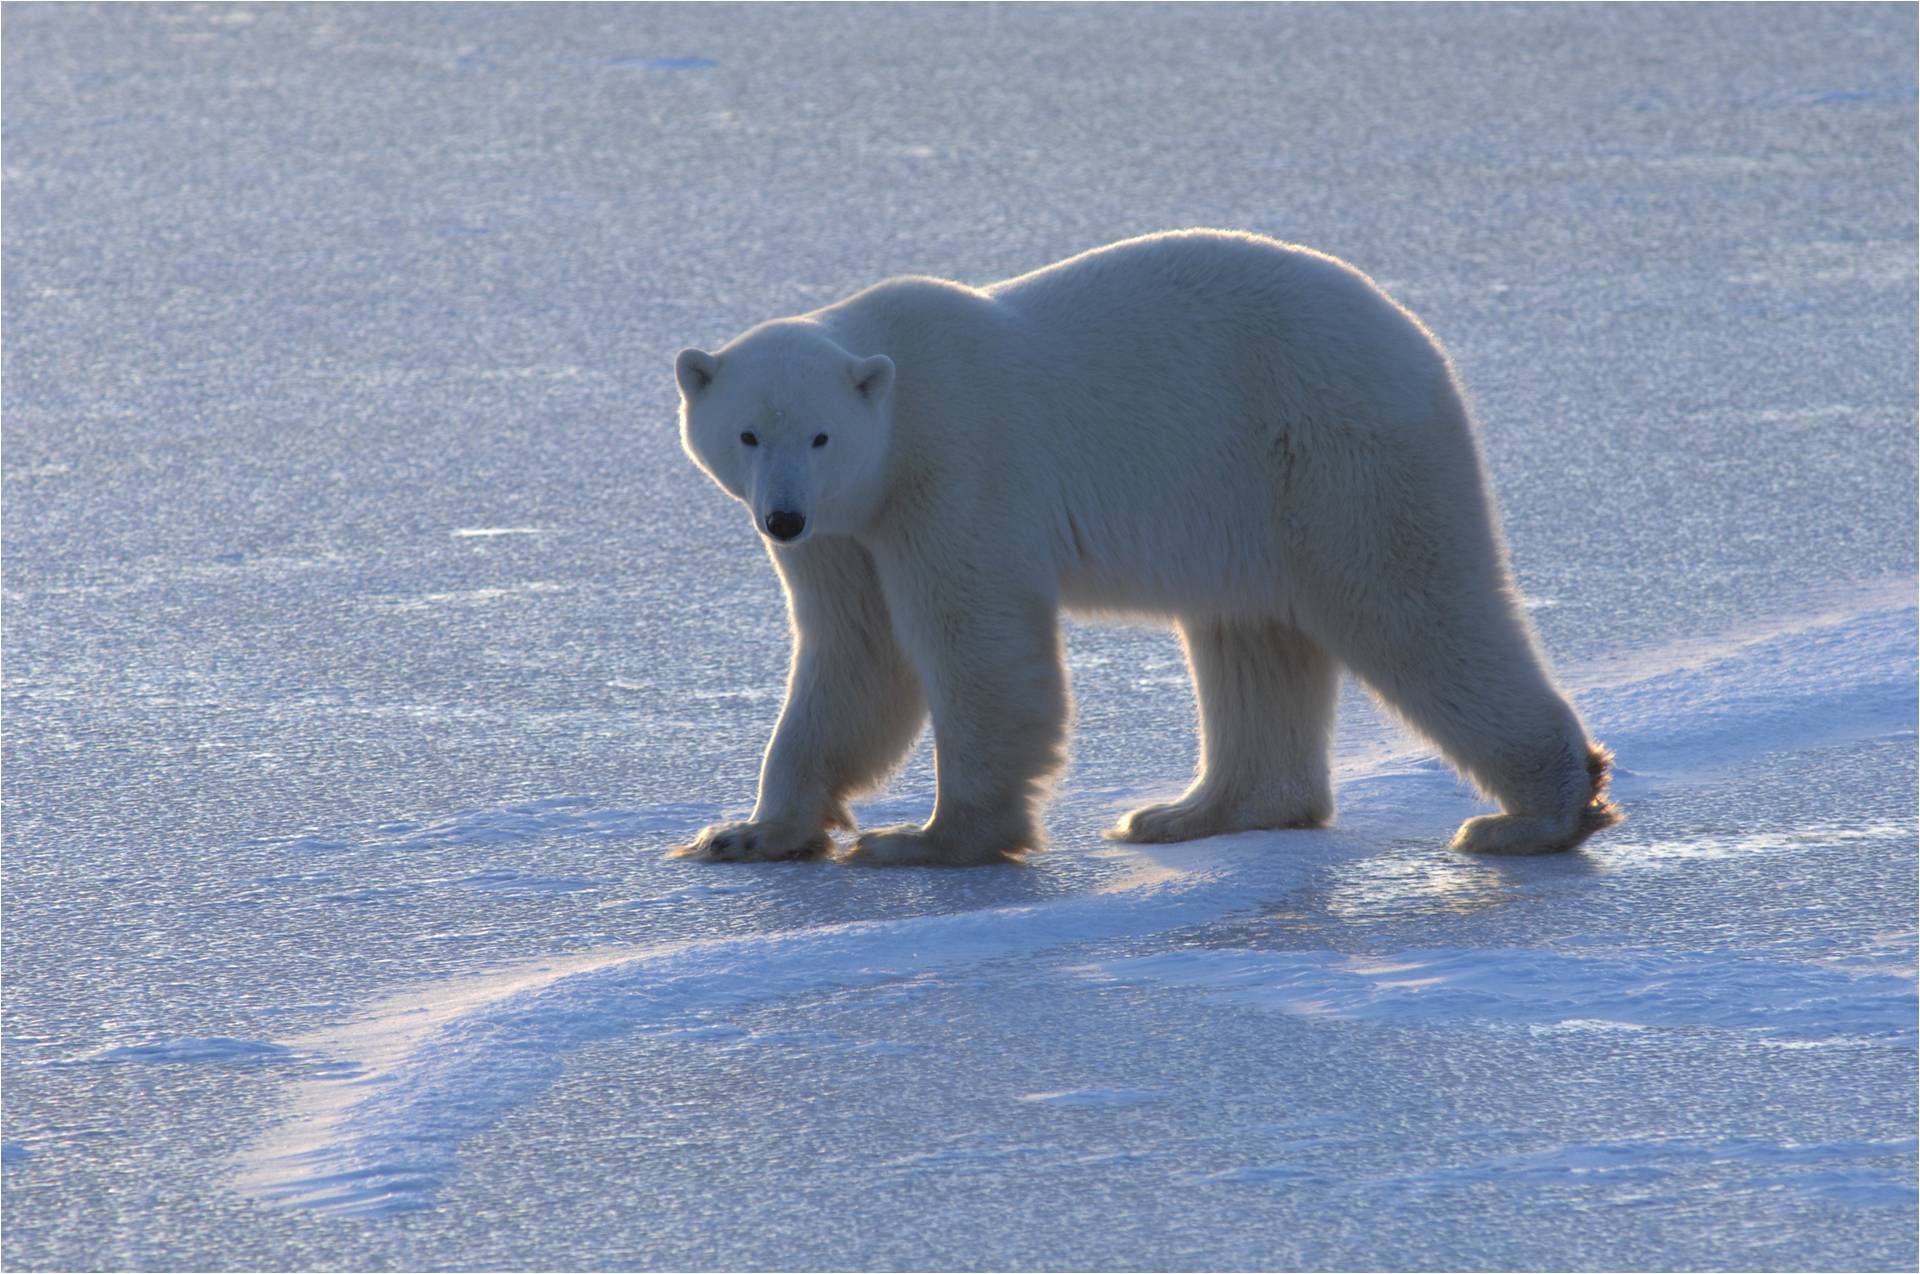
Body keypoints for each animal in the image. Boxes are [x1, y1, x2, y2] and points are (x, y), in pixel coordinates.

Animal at [668, 229, 1612, 867]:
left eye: (821, 436)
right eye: (747, 434)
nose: (781, 518)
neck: (899, 402)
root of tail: (1419, 341)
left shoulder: (954, 470)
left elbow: (973, 643)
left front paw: (931, 838)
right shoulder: (850, 530)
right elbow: (855, 654)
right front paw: (746, 833)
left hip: (1329, 449)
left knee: (1413, 606)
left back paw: (1535, 814)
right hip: (1249, 502)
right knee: (1252, 640)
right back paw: (1191, 812)